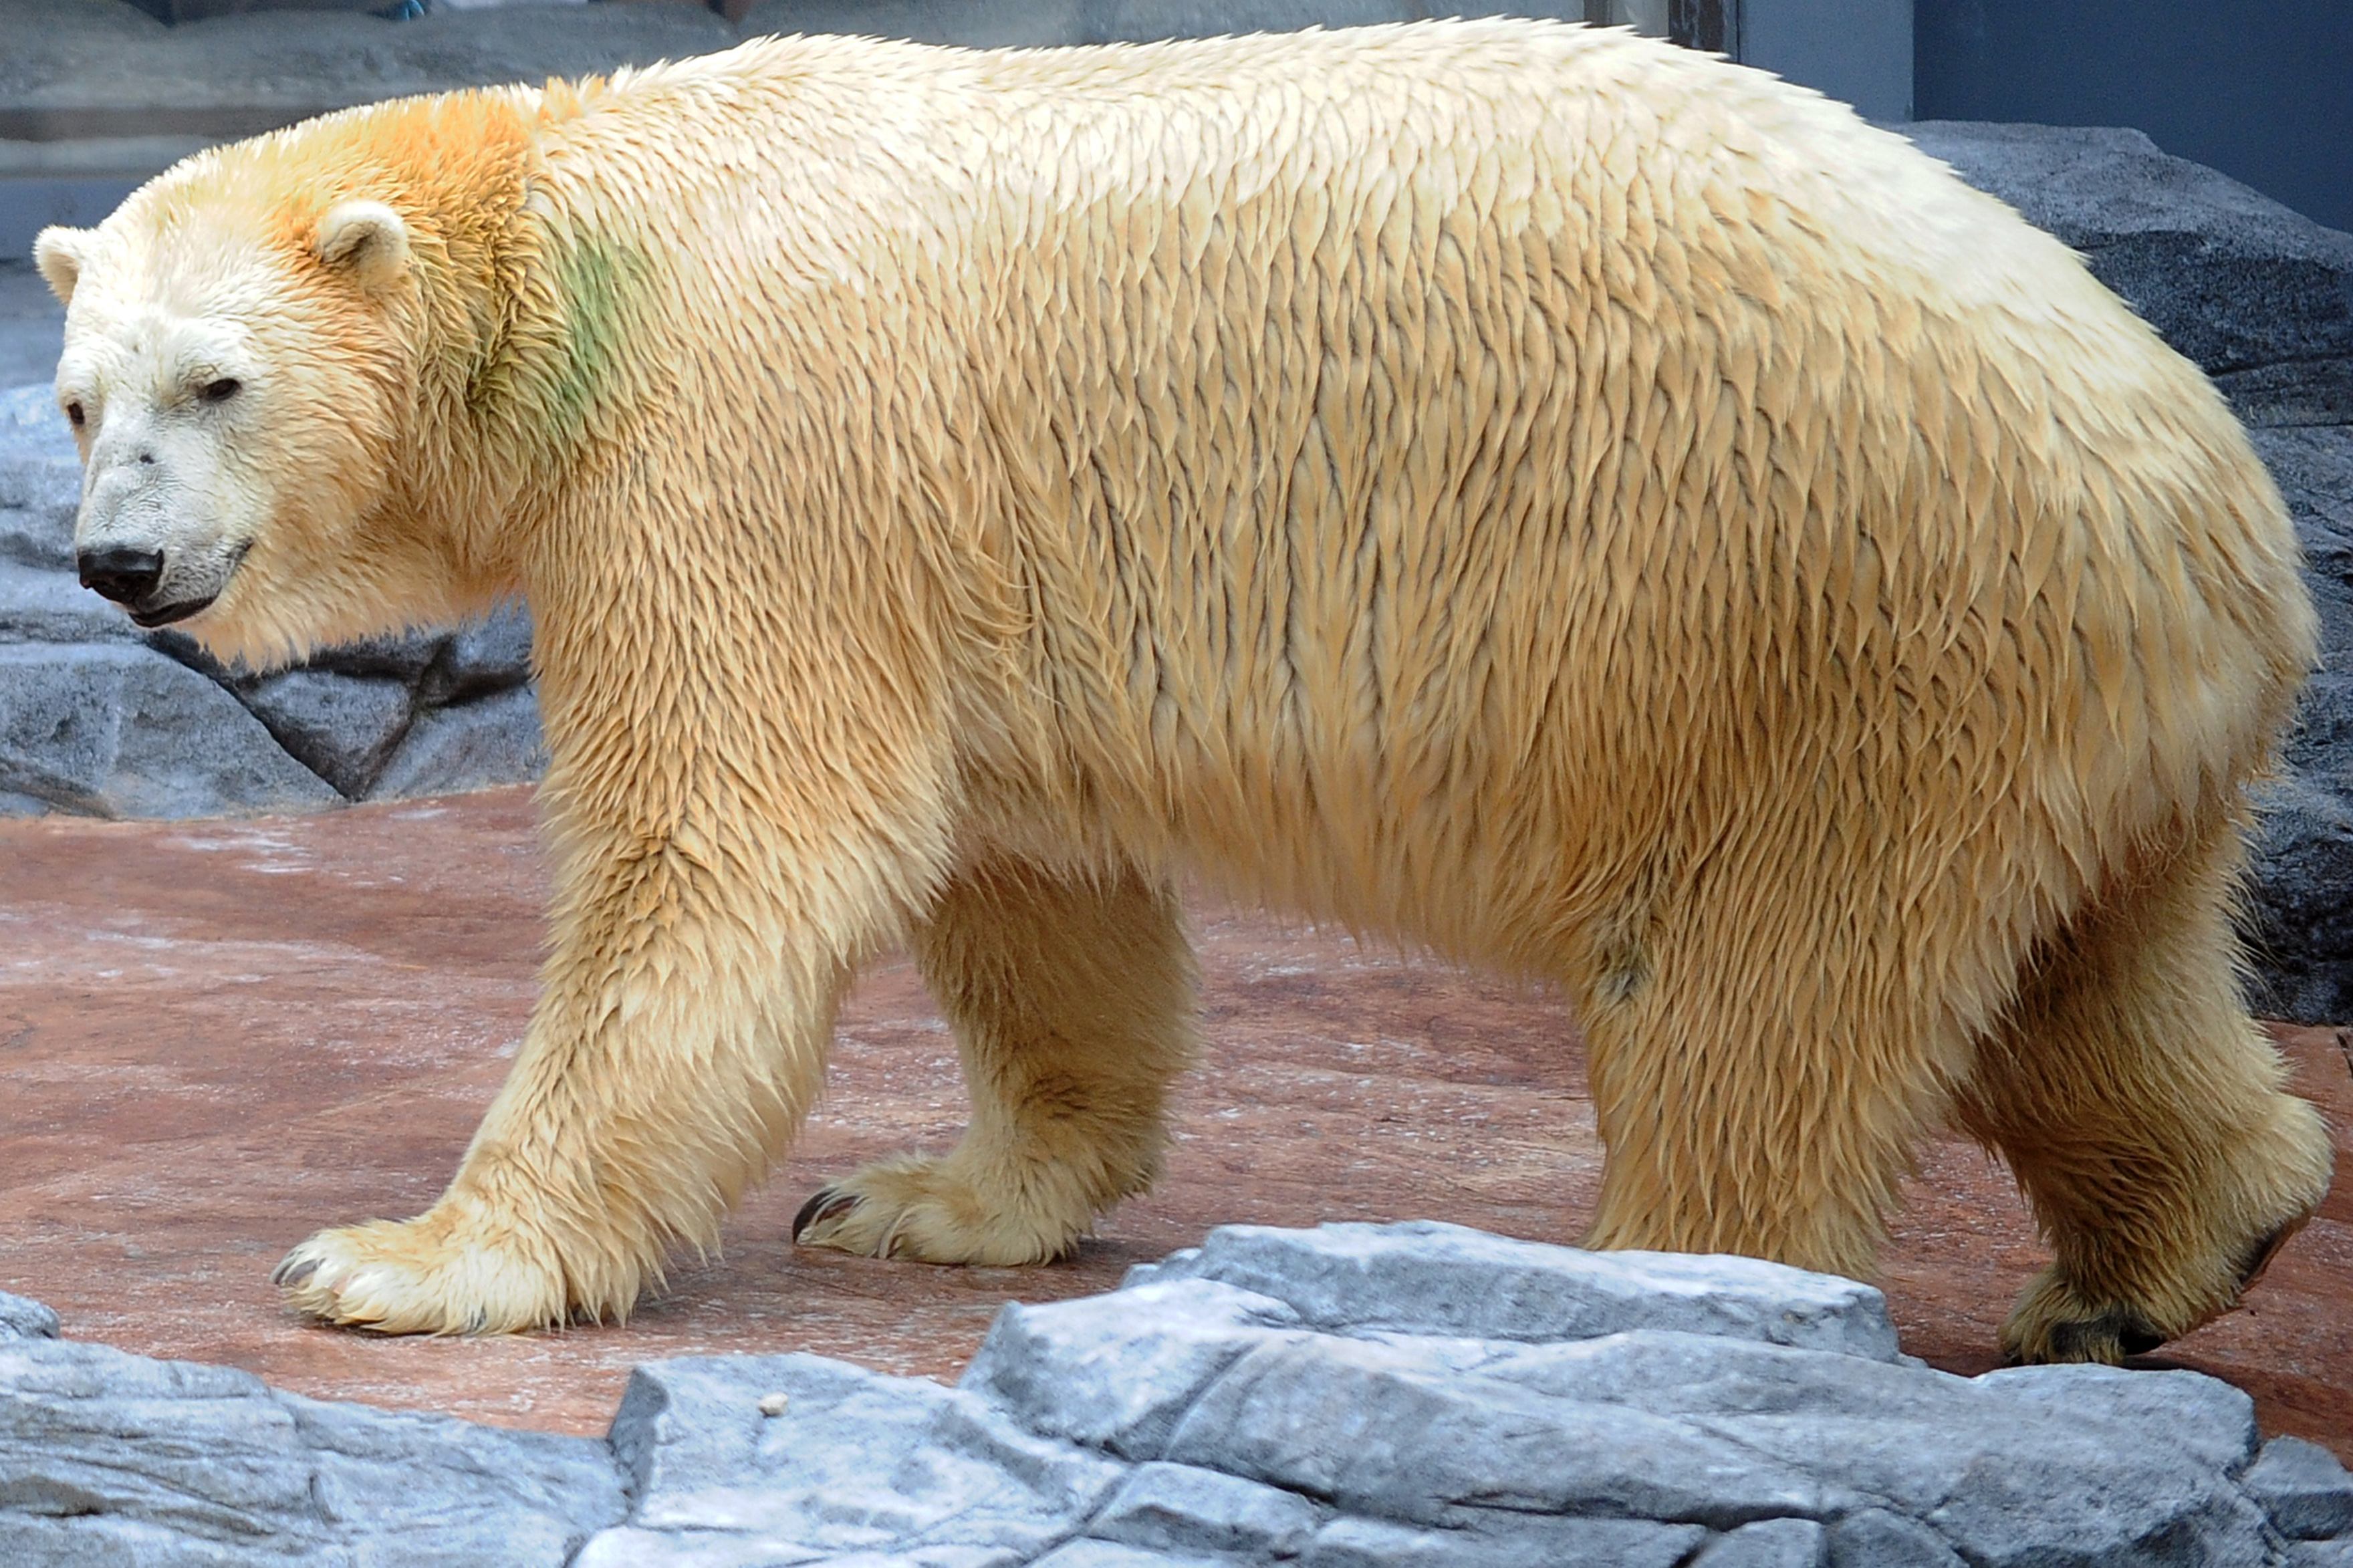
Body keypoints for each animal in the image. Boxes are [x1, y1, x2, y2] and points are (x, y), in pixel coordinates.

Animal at [37, 18, 2334, 1346]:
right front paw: (932, 1197)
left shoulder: (739, 441)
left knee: (1753, 990)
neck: (573, 217)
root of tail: (2221, 503)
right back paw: (2163, 1256)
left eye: (215, 382)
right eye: (75, 399)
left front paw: (402, 1258)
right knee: (2080, 970)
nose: (114, 562)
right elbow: (1026, 879)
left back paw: (1638, 1290)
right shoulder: (957, 550)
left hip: (1821, 618)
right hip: (2033, 690)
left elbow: (725, 844)